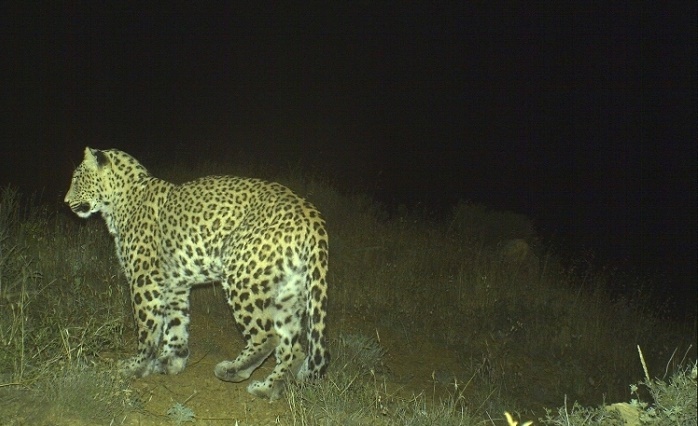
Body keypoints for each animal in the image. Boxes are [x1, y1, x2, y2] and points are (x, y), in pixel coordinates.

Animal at [64, 147, 330, 400]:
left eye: (77, 179)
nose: (66, 202)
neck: (119, 202)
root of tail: (311, 215)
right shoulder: (175, 285)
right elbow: (176, 324)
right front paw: (171, 360)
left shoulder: (145, 280)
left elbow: (147, 328)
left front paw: (136, 367)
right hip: (288, 294)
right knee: (294, 348)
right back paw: (269, 388)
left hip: (241, 276)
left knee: (268, 336)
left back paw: (233, 370)